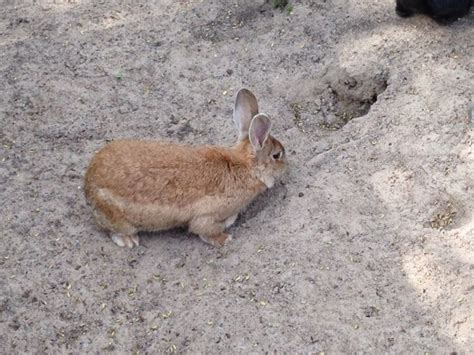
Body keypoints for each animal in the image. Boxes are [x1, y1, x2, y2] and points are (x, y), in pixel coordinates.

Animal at [83, 89, 286, 249]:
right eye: (277, 155)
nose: (287, 166)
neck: (246, 167)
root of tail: (88, 185)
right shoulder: (208, 216)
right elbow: (205, 230)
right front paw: (225, 238)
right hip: (118, 218)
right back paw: (129, 240)